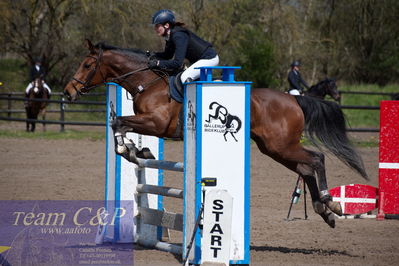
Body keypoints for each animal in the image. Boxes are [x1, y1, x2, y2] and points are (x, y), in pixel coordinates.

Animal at [63, 40, 368, 229]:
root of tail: (293, 100)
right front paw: (137, 151)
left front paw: (129, 149)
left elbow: (119, 123)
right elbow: (119, 124)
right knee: (305, 168)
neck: (145, 82)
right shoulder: (145, 123)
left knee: (316, 159)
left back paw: (330, 201)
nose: (68, 92)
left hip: (281, 144)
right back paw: (325, 212)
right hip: (273, 148)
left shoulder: (155, 123)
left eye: (87, 65)